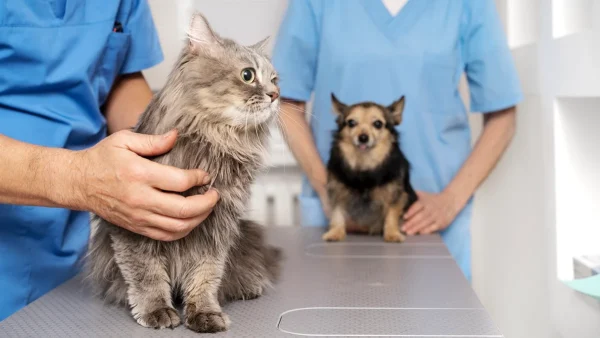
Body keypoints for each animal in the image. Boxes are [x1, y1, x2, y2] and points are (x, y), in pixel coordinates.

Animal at [324, 93, 418, 242]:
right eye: (351, 123)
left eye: (378, 124)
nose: (363, 137)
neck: (365, 163)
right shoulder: (337, 191)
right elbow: (337, 213)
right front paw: (335, 232)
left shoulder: (396, 195)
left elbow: (392, 214)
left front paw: (392, 233)